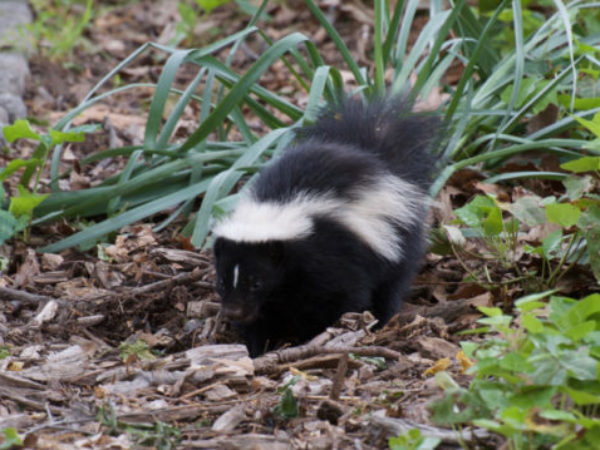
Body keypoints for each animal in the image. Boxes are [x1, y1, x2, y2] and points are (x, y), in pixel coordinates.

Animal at [213, 97, 438, 356]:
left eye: (257, 282)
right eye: (222, 282)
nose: (233, 312)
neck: (277, 207)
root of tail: (370, 153)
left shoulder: (332, 255)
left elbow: (340, 299)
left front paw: (310, 338)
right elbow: (263, 318)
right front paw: (258, 347)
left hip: (396, 238)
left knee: (391, 286)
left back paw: (380, 320)